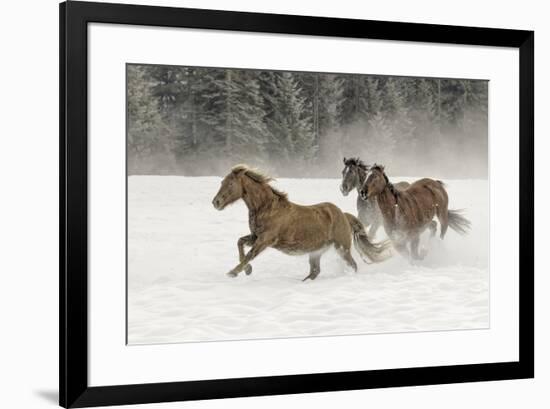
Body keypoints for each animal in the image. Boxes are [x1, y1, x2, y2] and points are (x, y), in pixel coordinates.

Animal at [212, 163, 392, 280]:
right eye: (222, 182)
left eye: (230, 184)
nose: (216, 202)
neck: (267, 208)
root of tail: (343, 215)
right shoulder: (255, 236)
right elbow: (240, 242)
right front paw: (247, 270)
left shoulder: (265, 240)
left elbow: (250, 254)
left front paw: (233, 272)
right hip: (316, 252)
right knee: (315, 271)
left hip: (342, 248)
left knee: (352, 265)